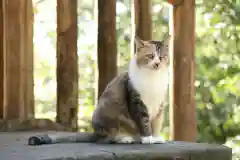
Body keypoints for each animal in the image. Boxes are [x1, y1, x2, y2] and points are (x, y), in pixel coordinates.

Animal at [28, 35, 170, 146]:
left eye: (162, 57)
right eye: (150, 56)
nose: (157, 64)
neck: (153, 78)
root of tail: (95, 132)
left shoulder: (160, 105)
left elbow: (156, 123)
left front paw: (155, 137)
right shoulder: (136, 101)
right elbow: (144, 121)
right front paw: (147, 138)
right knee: (108, 138)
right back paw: (124, 138)